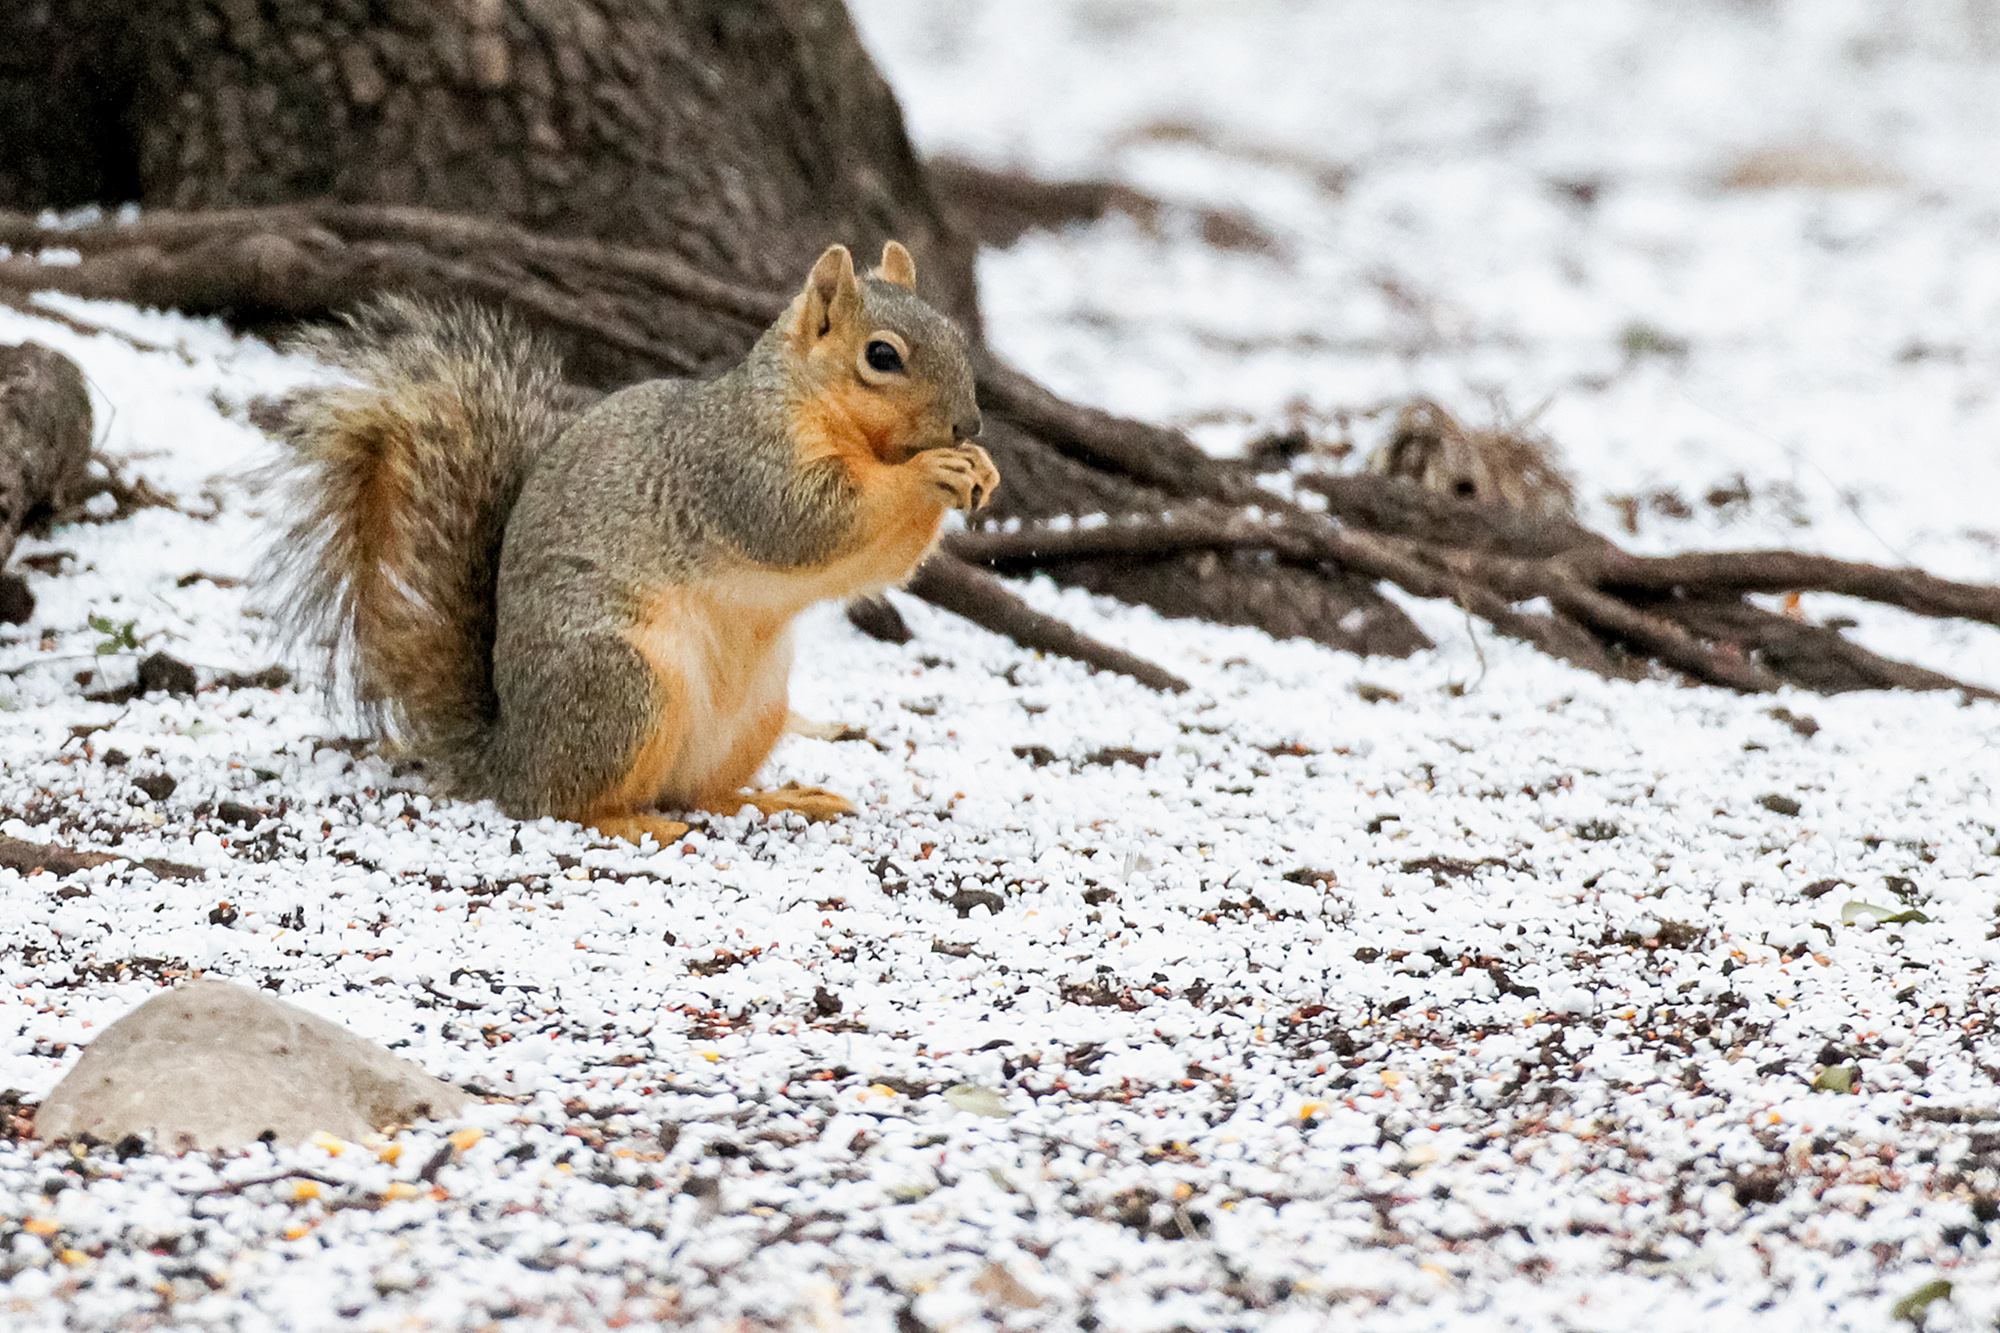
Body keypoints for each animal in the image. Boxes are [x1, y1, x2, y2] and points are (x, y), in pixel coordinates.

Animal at [267, 241, 999, 846]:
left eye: (957, 338)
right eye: (882, 356)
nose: (969, 424)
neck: (819, 408)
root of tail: (509, 758)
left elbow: (883, 561)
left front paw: (980, 470)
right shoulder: (740, 466)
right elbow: (808, 520)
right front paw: (929, 472)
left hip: (757, 711)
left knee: (696, 793)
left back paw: (774, 799)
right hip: (621, 686)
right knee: (567, 804)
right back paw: (631, 820)